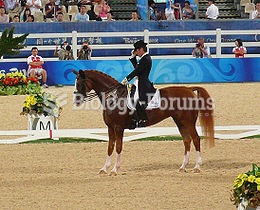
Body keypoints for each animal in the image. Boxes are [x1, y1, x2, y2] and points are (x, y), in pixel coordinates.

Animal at [72, 69, 214, 175]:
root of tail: (189, 89)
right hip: (180, 122)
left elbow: (118, 147)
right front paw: (104, 169)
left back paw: (197, 167)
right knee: (187, 140)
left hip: (189, 122)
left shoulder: (118, 127)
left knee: (196, 139)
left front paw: (114, 170)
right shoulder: (110, 128)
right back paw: (183, 167)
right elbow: (110, 147)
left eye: (79, 83)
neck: (114, 97)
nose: (76, 101)